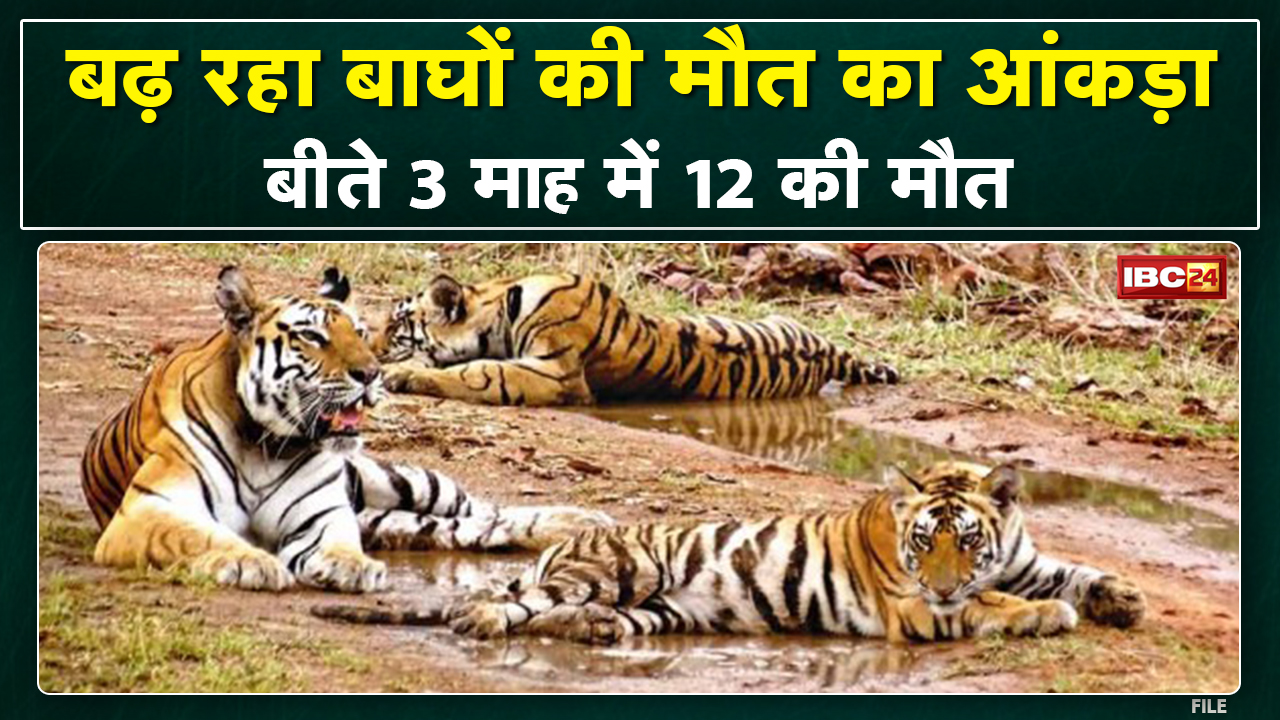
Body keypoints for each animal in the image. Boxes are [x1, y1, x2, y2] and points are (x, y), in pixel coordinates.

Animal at [80, 265, 612, 593]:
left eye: (357, 331)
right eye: (313, 336)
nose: (373, 373)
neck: (264, 444)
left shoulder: (323, 512)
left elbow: (335, 539)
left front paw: (348, 566)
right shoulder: (147, 510)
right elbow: (200, 537)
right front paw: (252, 561)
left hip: (396, 480)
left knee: (484, 510)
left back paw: (582, 522)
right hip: (389, 515)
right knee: (463, 529)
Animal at [372, 273, 899, 406]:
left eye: (397, 327)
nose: (371, 350)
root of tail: (825, 350)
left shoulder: (559, 373)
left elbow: (480, 371)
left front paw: (399, 373)